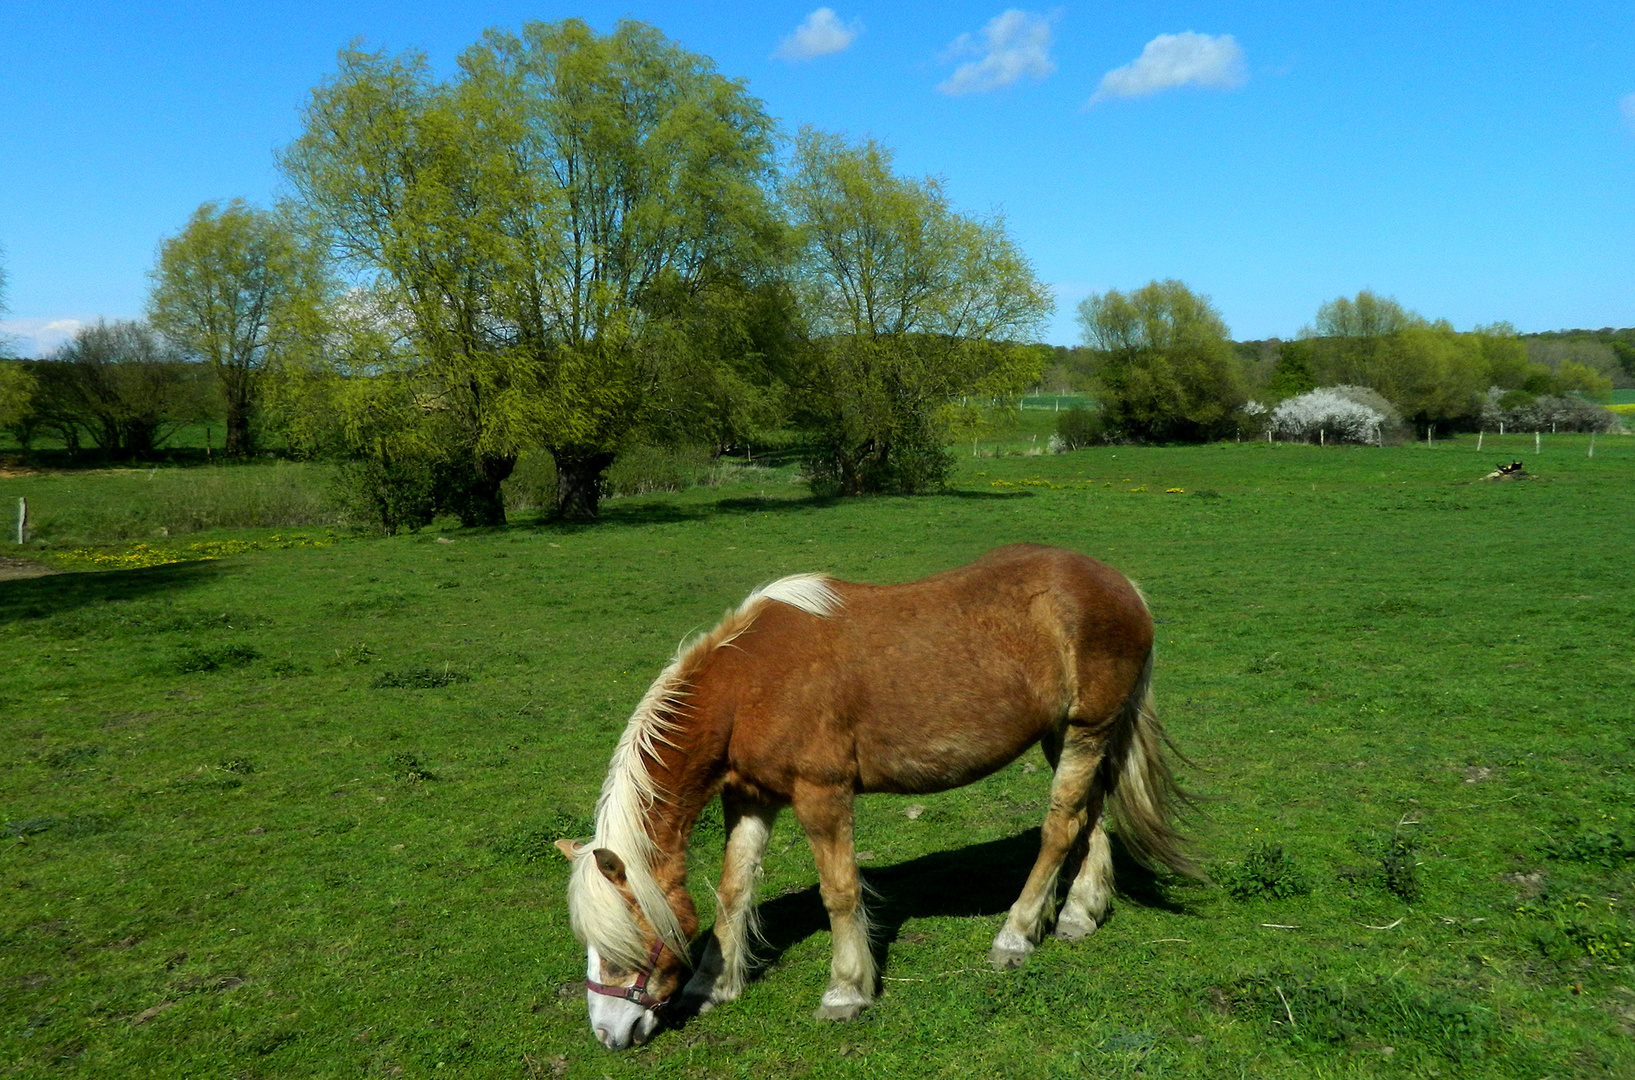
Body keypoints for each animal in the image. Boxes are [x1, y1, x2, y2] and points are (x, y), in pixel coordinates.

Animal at [555, 542, 1196, 1045]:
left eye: (626, 942)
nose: (609, 1033)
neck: (749, 686)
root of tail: (1122, 586)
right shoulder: (750, 798)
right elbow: (733, 891)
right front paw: (712, 986)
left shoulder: (822, 793)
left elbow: (839, 892)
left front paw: (845, 992)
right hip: (1065, 735)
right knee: (1089, 815)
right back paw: (1079, 914)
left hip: (1087, 729)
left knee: (1061, 826)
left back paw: (1015, 935)